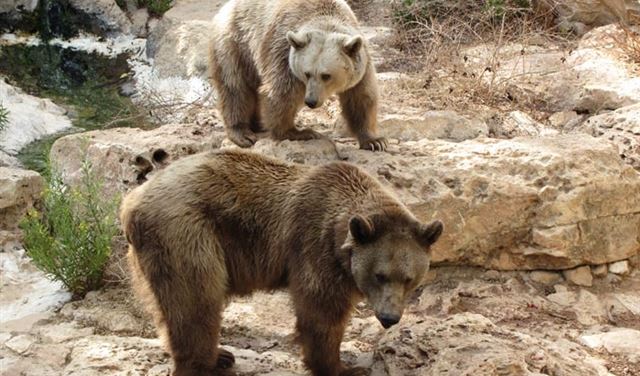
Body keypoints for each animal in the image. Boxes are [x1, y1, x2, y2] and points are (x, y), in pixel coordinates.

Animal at [121, 150, 440, 376]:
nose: (389, 318)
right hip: (187, 233)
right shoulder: (315, 247)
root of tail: (131, 202)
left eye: (409, 278)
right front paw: (346, 368)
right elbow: (321, 313)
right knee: (197, 302)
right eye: (379, 275)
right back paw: (206, 362)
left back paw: (218, 355)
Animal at [210, 0, 388, 153]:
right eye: (307, 73)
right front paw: (298, 132)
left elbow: (361, 97)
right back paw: (242, 133)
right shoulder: (283, 52)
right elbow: (281, 93)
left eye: (326, 75)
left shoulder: (361, 63)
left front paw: (375, 141)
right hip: (236, 43)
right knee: (235, 87)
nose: (311, 101)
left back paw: (258, 124)